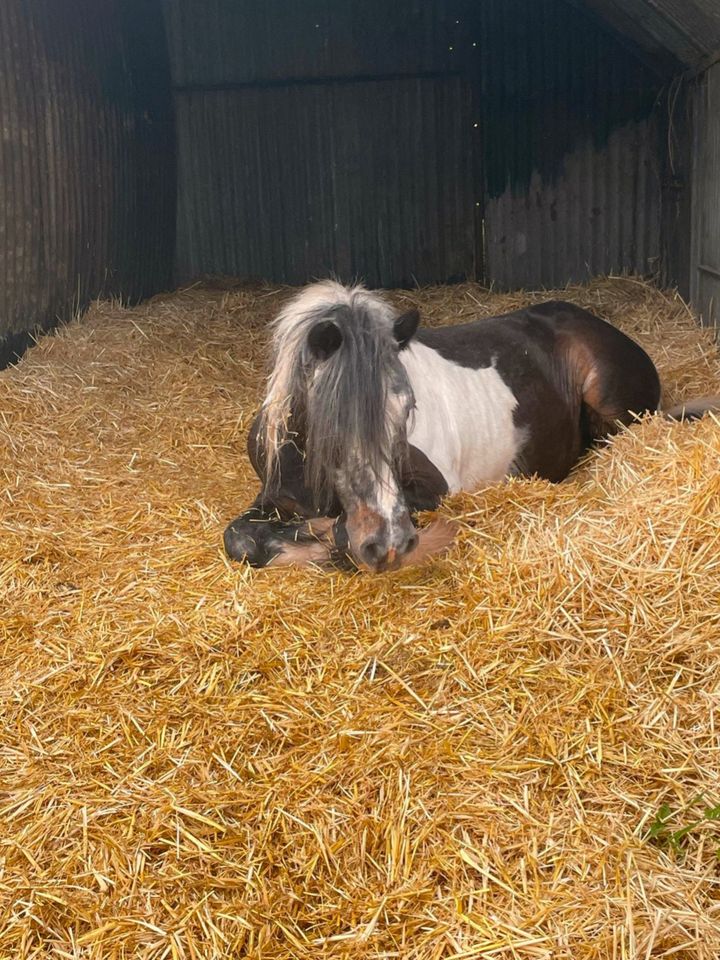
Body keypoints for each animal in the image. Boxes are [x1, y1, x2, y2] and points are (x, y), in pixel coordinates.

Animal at [222, 282, 716, 572]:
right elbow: (239, 539)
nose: (389, 543)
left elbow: (337, 535)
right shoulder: (273, 498)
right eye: (332, 421)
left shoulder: (434, 490)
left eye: (408, 407)